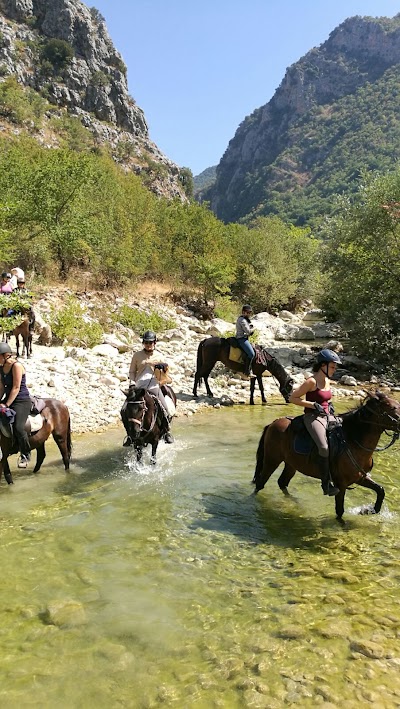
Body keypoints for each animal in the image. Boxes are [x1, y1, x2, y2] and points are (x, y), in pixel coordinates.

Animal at [253, 392, 400, 520]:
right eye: (392, 408)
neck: (353, 441)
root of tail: (273, 423)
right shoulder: (341, 484)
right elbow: (340, 511)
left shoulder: (360, 477)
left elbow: (380, 490)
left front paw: (370, 510)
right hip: (272, 460)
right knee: (260, 483)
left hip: (291, 464)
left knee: (282, 482)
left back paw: (295, 503)